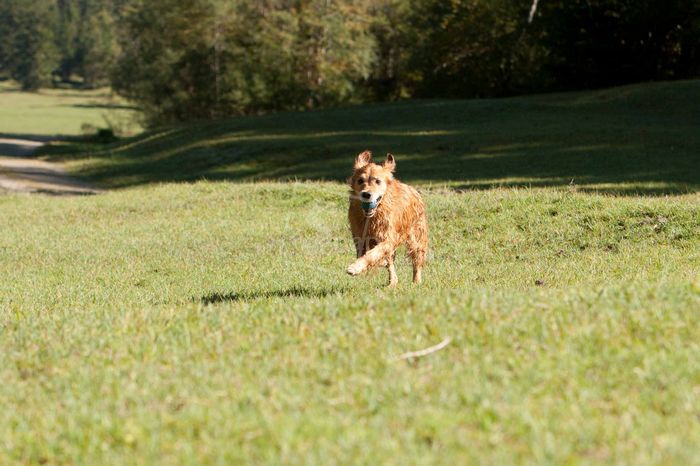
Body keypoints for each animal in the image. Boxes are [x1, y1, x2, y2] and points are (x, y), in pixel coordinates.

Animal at [346, 150, 428, 287]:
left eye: (378, 181)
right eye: (360, 180)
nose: (366, 194)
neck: (373, 216)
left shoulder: (388, 238)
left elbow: (374, 254)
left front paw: (355, 268)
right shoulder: (359, 238)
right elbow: (367, 254)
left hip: (416, 237)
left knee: (417, 259)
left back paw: (416, 281)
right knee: (391, 266)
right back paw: (392, 282)